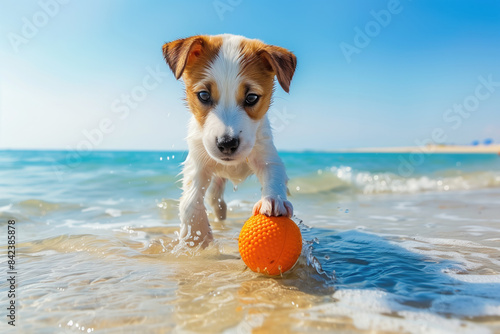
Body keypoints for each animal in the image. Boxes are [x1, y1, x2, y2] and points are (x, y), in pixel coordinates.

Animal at [164, 34, 296, 247]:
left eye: (251, 97)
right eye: (204, 95)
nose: (227, 144)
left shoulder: (266, 155)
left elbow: (273, 175)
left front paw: (273, 200)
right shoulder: (198, 161)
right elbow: (190, 199)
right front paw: (196, 235)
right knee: (214, 198)